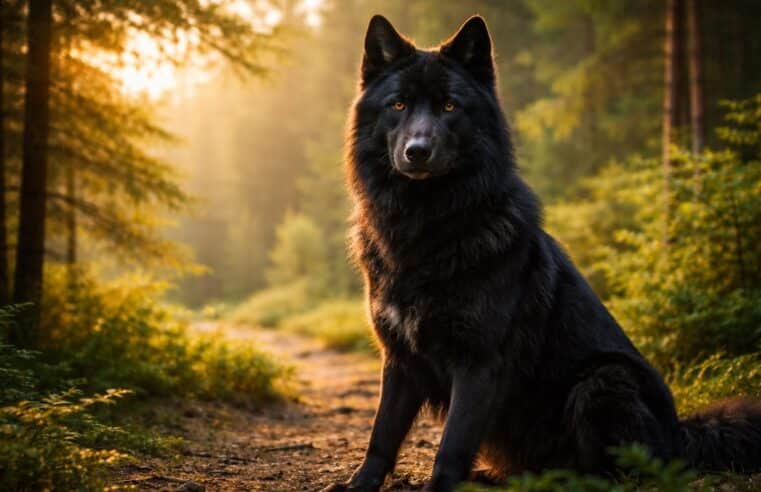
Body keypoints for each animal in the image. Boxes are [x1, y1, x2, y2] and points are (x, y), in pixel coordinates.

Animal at [323, 15, 761, 492]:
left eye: (450, 107)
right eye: (399, 105)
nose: (417, 152)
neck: (426, 225)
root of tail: (682, 436)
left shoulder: (479, 364)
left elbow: (452, 443)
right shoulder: (399, 360)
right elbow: (381, 435)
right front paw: (359, 484)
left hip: (604, 380)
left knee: (613, 471)